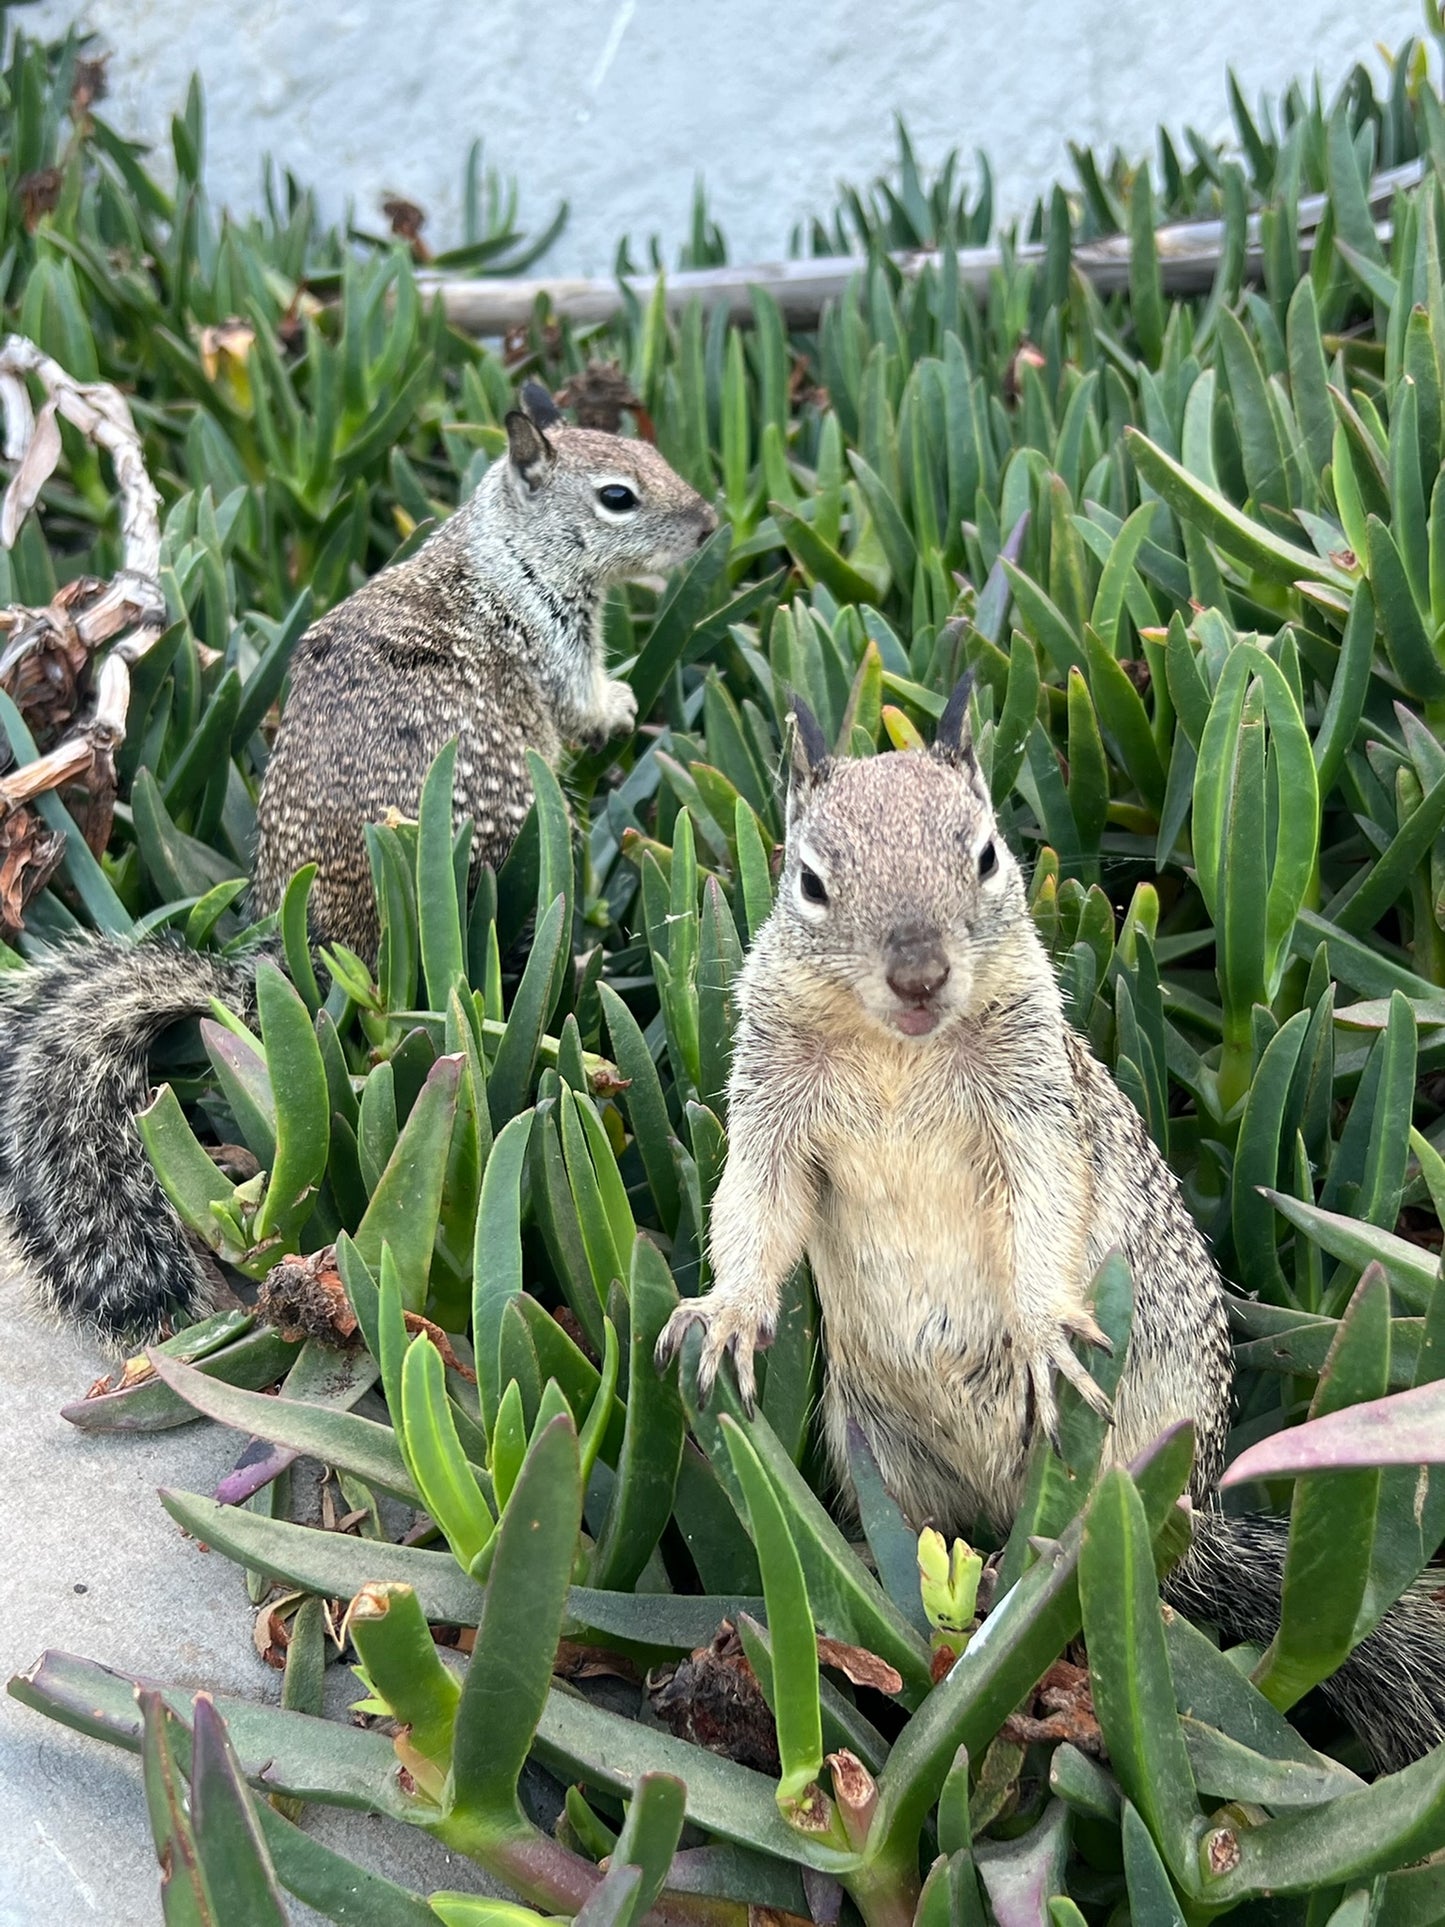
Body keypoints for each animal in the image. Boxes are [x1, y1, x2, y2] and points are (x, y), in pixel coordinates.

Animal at [0, 383, 715, 1346]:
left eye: (656, 456)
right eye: (617, 496)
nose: (709, 525)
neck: (505, 546)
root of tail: (304, 945)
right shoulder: (556, 640)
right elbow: (579, 701)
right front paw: (622, 702)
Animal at [657, 681, 1445, 1774]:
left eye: (986, 854)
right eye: (808, 880)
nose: (917, 974)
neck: (896, 1050)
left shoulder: (1033, 1109)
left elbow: (1044, 1211)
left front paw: (1039, 1334)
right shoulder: (770, 1105)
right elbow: (754, 1206)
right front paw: (729, 1312)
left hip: (1119, 1469)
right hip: (873, 1446)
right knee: (920, 1530)